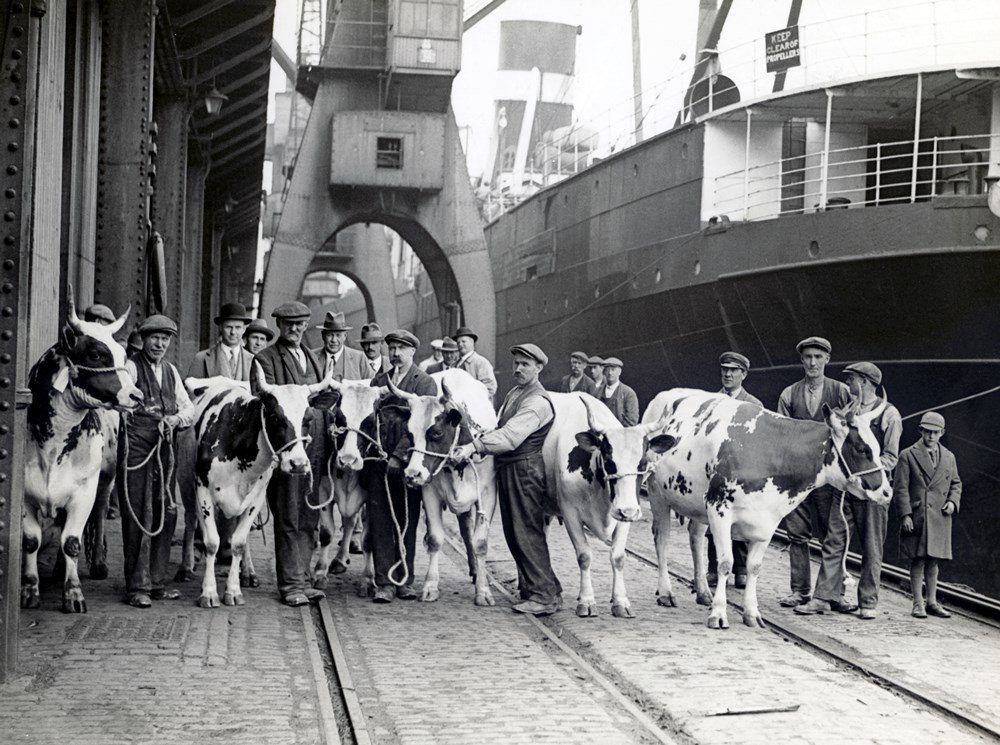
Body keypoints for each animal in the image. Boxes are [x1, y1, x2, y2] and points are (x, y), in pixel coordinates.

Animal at [23, 298, 142, 612]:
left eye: (122, 355)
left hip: (106, 480)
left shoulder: (84, 492)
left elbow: (72, 541)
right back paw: (57, 570)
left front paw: (74, 594)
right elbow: (31, 541)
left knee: (98, 516)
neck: (52, 448)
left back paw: (97, 564)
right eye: (96, 354)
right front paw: (29, 589)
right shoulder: (25, 495)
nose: (136, 396)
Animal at [186, 366, 330, 604]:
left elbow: (238, 542)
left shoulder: (256, 497)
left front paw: (233, 590)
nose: (298, 464)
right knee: (190, 522)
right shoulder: (202, 490)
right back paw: (185, 568)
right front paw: (209, 592)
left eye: (308, 418)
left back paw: (248, 573)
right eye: (275, 417)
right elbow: (212, 542)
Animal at [392, 366, 498, 604]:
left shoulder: (488, 494)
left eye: (437, 432)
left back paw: (476, 572)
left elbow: (480, 543)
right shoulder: (429, 492)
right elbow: (435, 539)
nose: (412, 474)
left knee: (467, 532)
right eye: (409, 433)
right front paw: (430, 586)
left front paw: (484, 591)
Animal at [644, 390, 896, 628]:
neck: (769, 450)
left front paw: (751, 613)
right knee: (662, 538)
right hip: (657, 492)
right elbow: (725, 563)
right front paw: (718, 613)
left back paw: (703, 592)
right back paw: (666, 592)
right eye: (862, 449)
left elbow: (754, 567)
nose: (887, 492)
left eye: (877, 447)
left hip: (696, 503)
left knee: (695, 538)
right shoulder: (719, 509)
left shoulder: (768, 521)